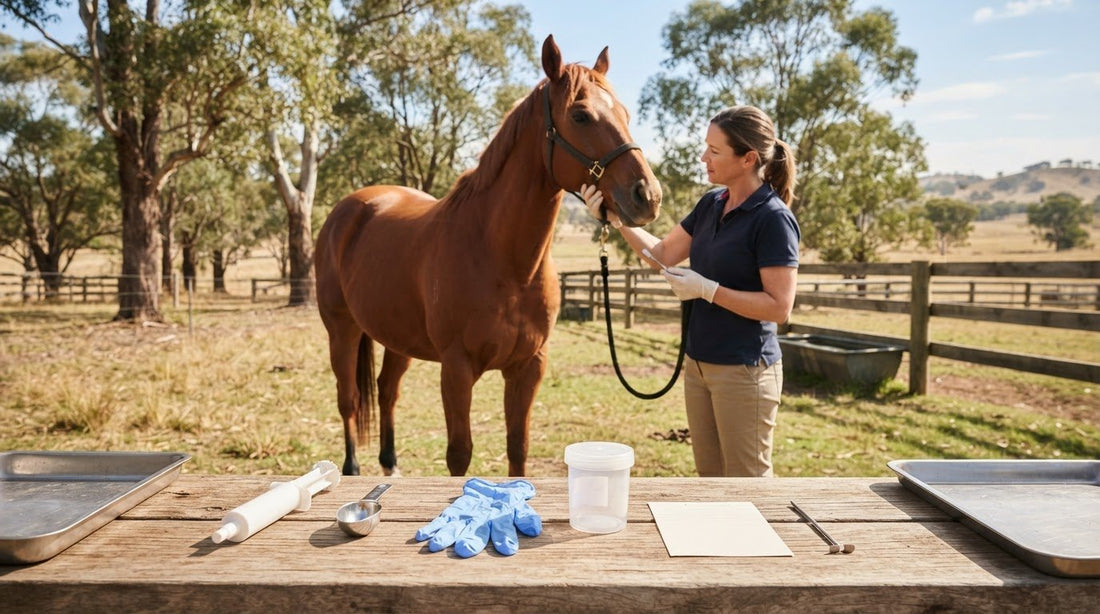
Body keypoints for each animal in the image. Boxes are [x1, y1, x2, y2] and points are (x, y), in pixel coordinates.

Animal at [314, 35, 662, 477]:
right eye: (581, 115)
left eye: (625, 113)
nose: (647, 196)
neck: (506, 263)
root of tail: (350, 208)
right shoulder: (457, 369)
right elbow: (459, 454)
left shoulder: (528, 368)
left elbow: (518, 446)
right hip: (341, 330)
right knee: (349, 400)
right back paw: (352, 468)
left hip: (396, 337)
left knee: (386, 391)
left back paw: (391, 466)